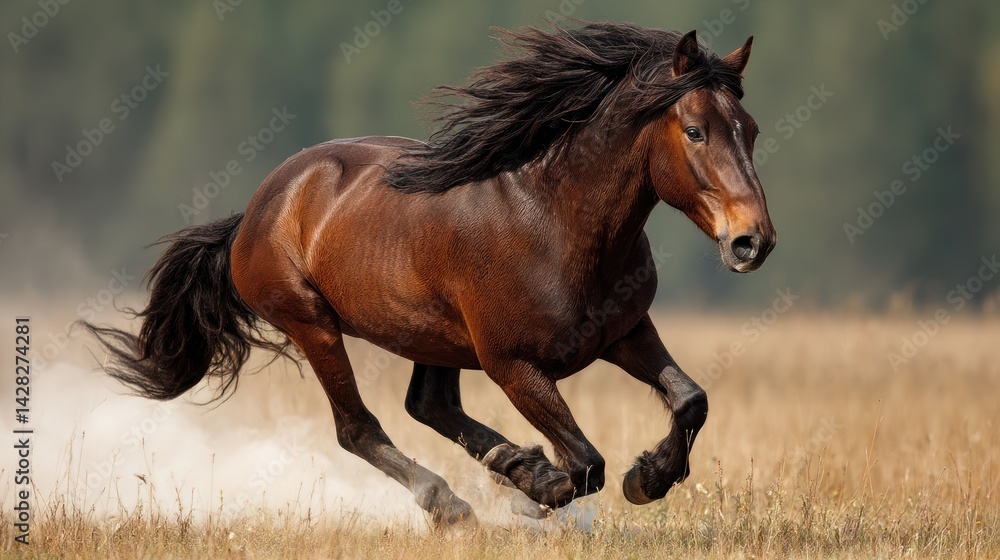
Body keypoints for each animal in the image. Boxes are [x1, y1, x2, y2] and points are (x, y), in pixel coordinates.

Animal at [83, 22, 775, 527]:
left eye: (751, 130)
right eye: (695, 130)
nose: (753, 242)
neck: (556, 222)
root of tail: (255, 211)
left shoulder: (624, 333)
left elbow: (688, 399)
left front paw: (646, 478)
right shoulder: (512, 363)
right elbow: (584, 464)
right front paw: (541, 489)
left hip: (434, 336)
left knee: (429, 404)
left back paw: (507, 462)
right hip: (312, 324)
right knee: (359, 427)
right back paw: (455, 501)